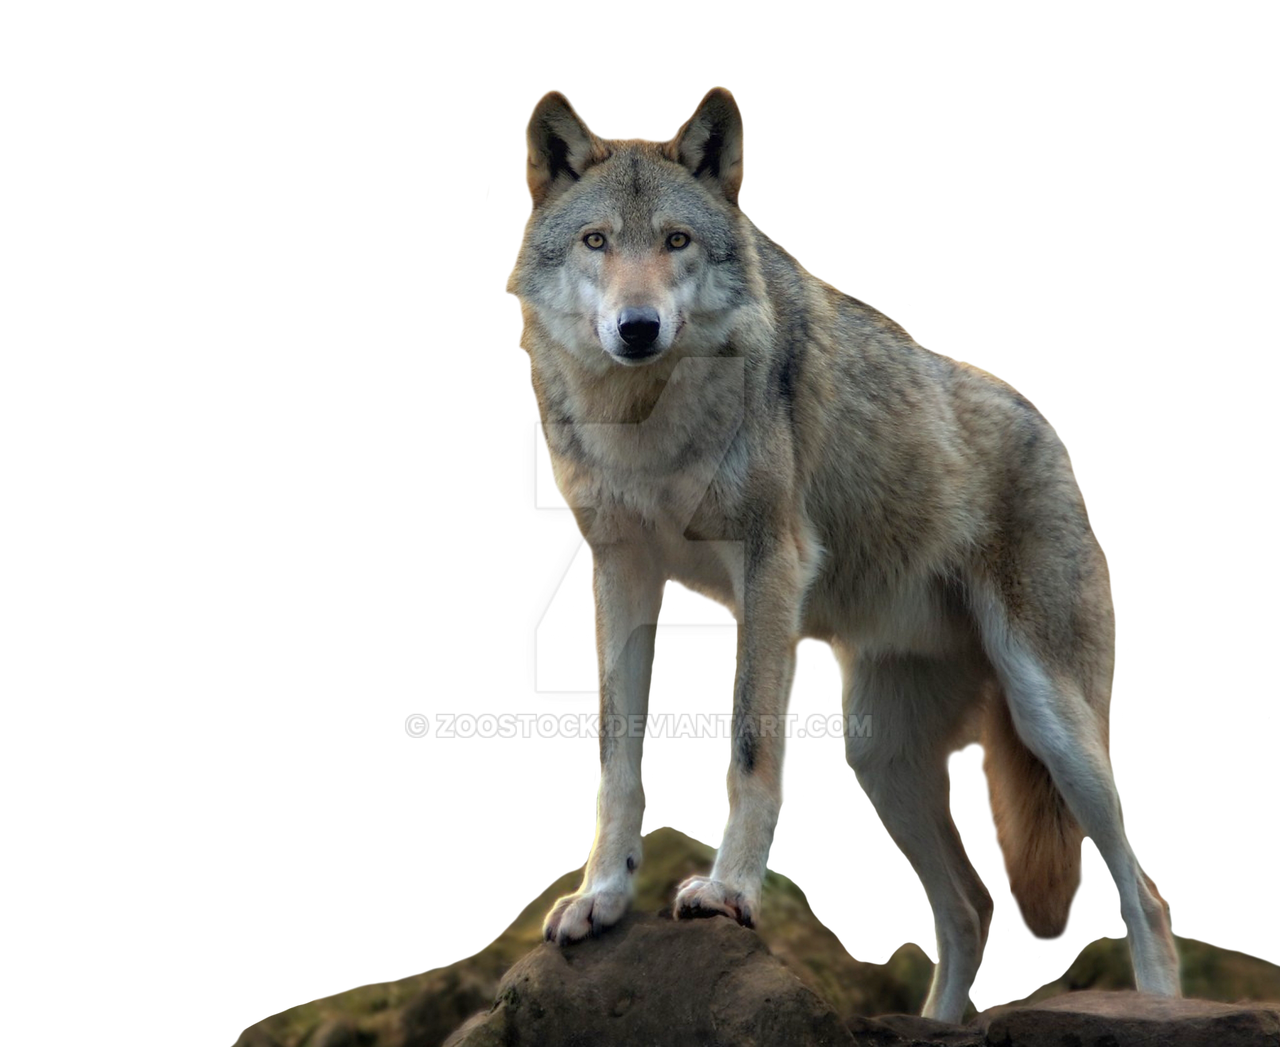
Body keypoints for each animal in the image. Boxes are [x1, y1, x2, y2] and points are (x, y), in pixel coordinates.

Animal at [506, 87, 1180, 1022]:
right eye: (597, 241)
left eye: (676, 241)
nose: (637, 328)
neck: (646, 417)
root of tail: (1053, 435)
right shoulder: (620, 572)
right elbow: (619, 763)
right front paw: (602, 897)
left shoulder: (771, 567)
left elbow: (752, 749)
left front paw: (727, 892)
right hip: (878, 752)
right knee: (971, 904)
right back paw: (937, 1024)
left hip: (1053, 723)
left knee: (1142, 891)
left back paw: (1158, 1005)